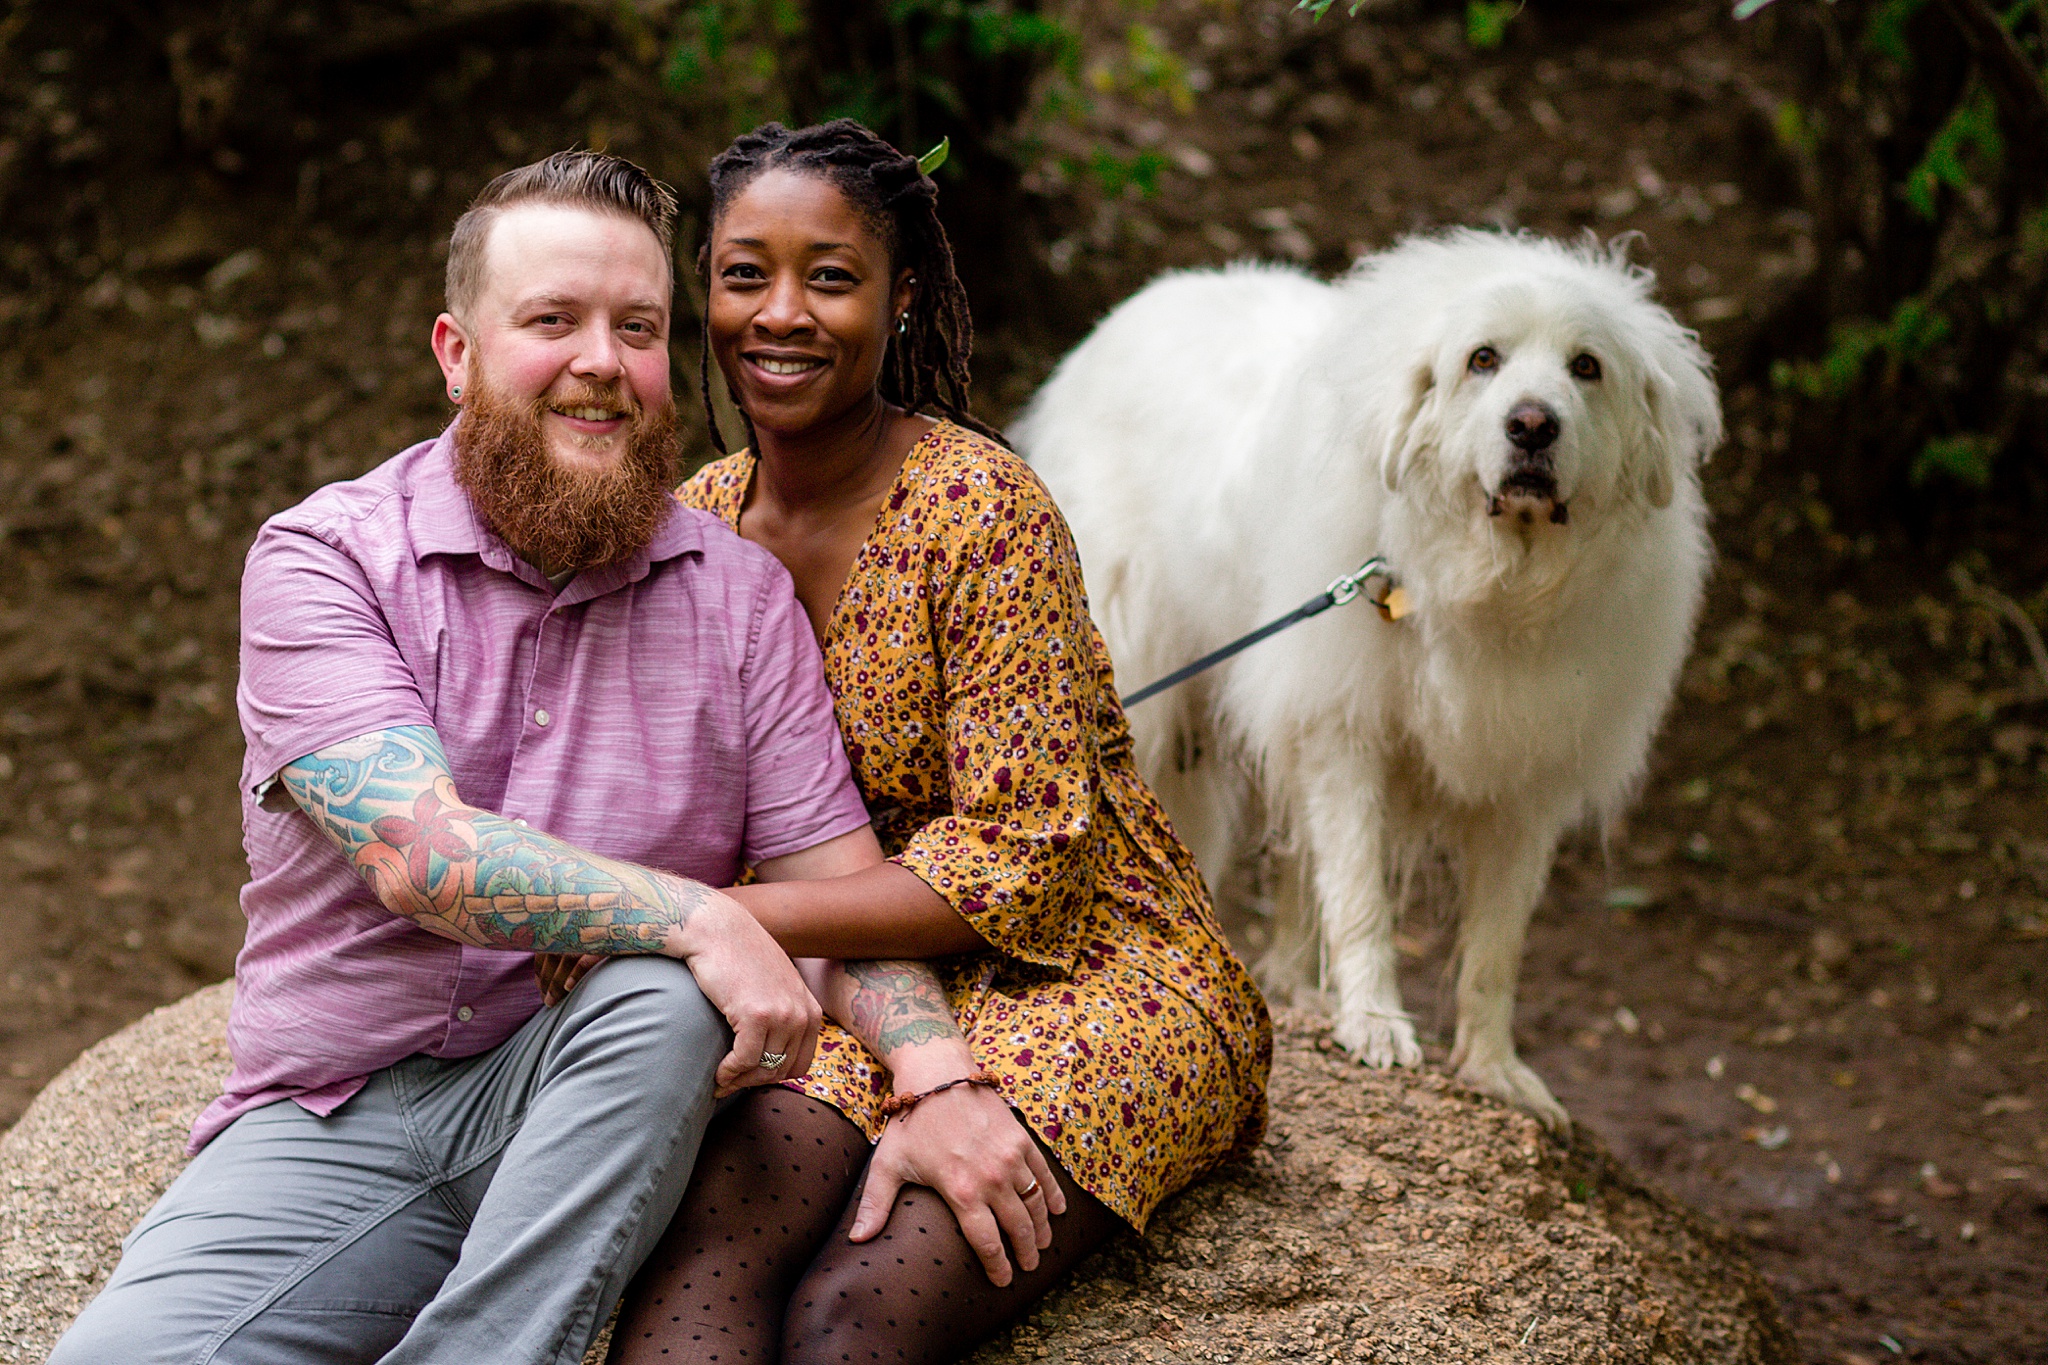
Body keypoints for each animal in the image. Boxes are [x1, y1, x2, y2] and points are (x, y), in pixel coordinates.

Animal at [1015, 232, 1720, 1129]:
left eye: (1586, 367)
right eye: (1483, 360)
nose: (1533, 424)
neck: (1491, 580)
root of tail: (1143, 301)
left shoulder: (1527, 777)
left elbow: (1496, 946)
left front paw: (1494, 1068)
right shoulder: (1342, 726)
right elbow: (1360, 896)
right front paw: (1376, 1021)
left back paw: (1293, 983)